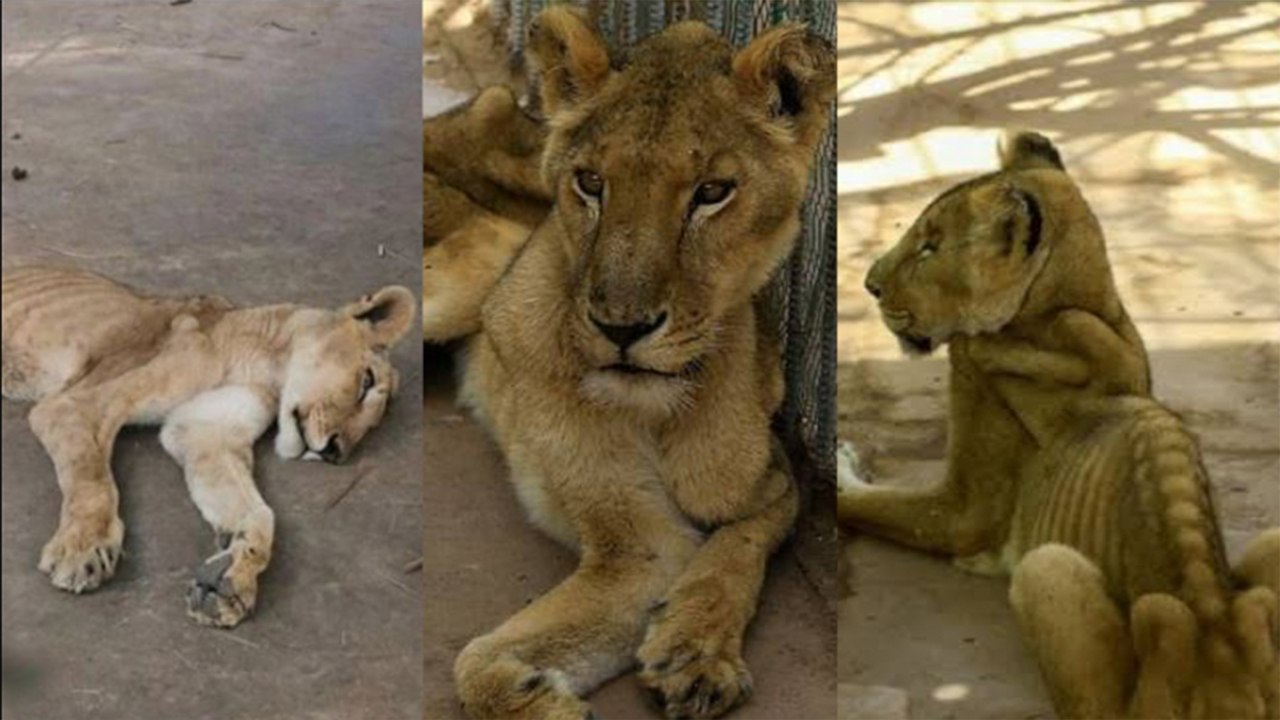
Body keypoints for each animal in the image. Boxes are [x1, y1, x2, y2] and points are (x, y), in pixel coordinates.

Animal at [1, 267, 415, 628]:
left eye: (372, 428)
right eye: (366, 381)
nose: (335, 453)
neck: (266, 367)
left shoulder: (204, 431)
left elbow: (258, 513)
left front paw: (230, 578)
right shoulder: (70, 405)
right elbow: (94, 480)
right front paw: (85, 547)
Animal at [423, 8, 834, 719]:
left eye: (712, 192)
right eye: (591, 182)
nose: (622, 328)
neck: (662, 411)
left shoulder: (771, 484)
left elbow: (737, 551)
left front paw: (694, 650)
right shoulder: (639, 544)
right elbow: (471, 666)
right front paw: (546, 702)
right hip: (477, 262)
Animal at [838, 131, 1280, 719]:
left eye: (930, 247)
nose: (869, 286)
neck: (1068, 302)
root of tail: (1219, 655)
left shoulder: (963, 510)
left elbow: (867, 503)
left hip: (1045, 567)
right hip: (1272, 548)